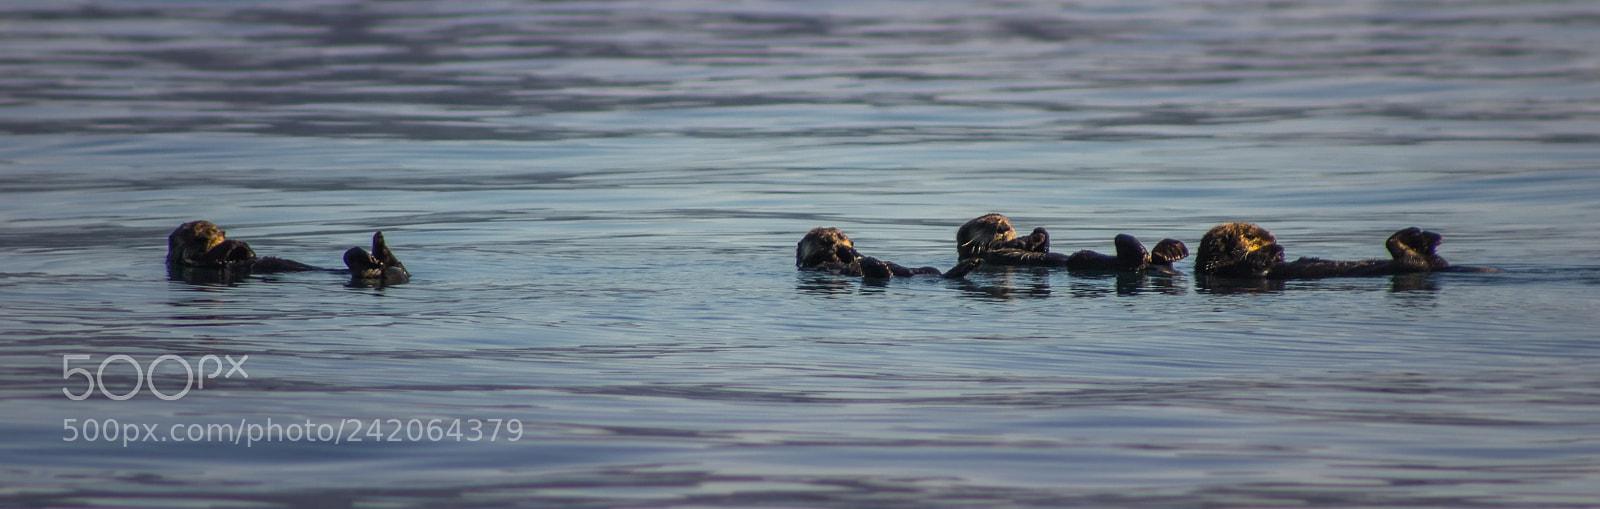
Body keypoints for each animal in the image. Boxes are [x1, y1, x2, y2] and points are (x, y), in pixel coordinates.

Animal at [166, 220, 408, 285]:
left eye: (215, 229)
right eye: (189, 230)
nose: (206, 235)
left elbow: (249, 255)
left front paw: (242, 246)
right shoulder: (196, 262)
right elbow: (209, 259)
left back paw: (378, 242)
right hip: (369, 269)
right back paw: (372, 252)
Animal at [797, 227, 980, 279]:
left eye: (841, 235)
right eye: (814, 237)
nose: (829, 240)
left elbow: (857, 254)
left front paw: (844, 248)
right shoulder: (810, 264)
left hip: (929, 269)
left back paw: (970, 264)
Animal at [955, 213, 1189, 273]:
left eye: (1008, 223)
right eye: (985, 223)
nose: (1003, 228)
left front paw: (1039, 234)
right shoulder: (989, 253)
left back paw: (1173, 249)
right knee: (1135, 254)